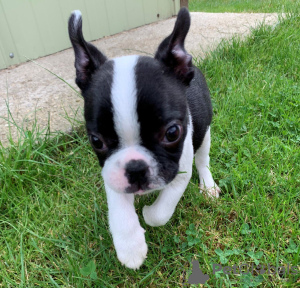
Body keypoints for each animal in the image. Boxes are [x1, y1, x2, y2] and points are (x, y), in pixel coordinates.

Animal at [68, 8, 220, 270]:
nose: (136, 168)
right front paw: (130, 247)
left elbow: (161, 213)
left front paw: (149, 213)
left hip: (204, 134)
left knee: (203, 160)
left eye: (172, 133)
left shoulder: (179, 171)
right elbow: (119, 211)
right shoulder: (112, 173)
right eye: (96, 141)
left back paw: (208, 186)